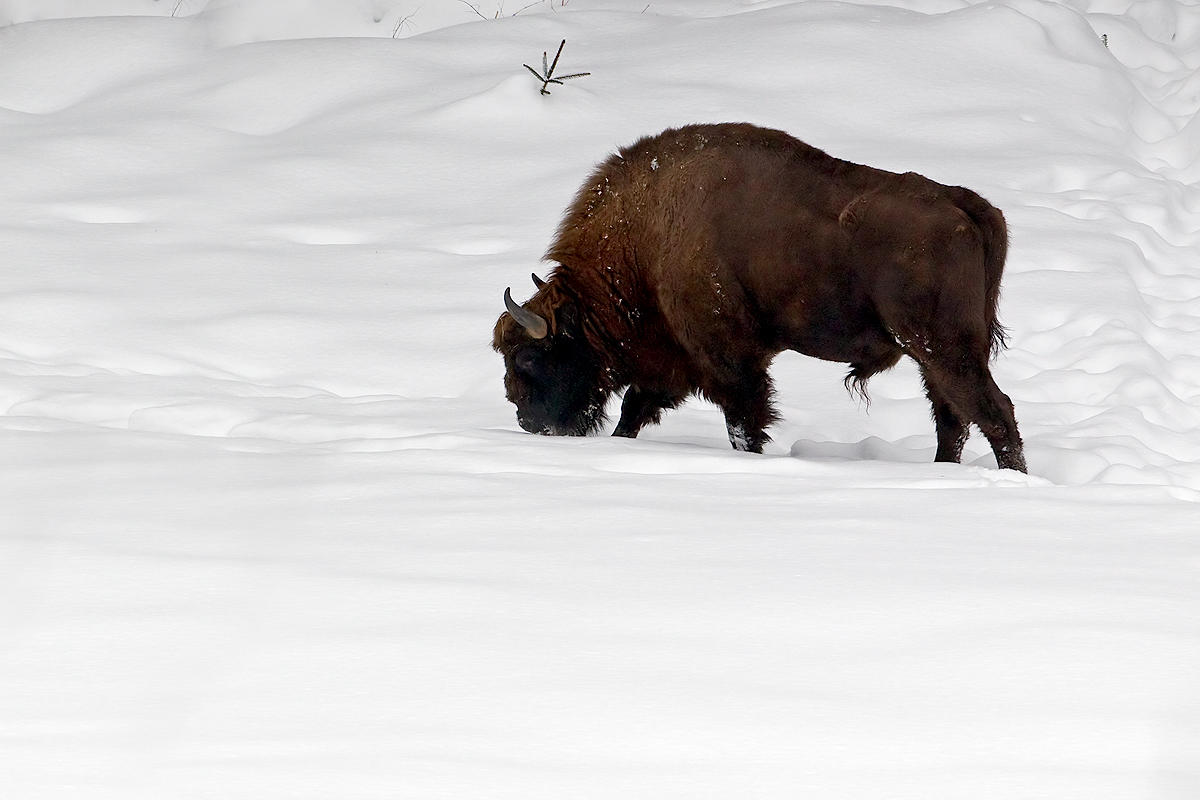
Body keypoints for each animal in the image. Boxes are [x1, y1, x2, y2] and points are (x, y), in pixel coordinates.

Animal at [492, 122, 1027, 472]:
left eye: (529, 357)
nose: (525, 418)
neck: (649, 235)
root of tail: (965, 205)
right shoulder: (675, 363)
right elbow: (634, 411)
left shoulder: (729, 360)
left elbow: (744, 422)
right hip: (935, 355)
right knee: (953, 419)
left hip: (943, 347)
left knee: (992, 412)